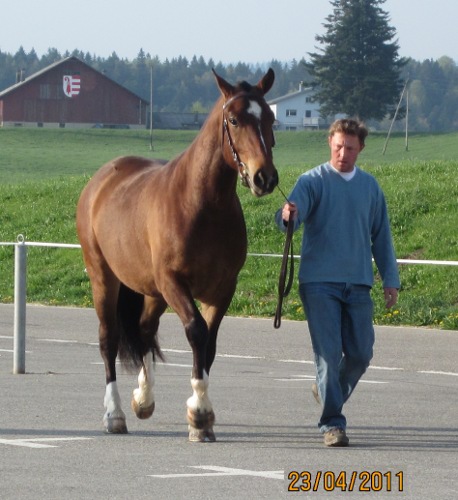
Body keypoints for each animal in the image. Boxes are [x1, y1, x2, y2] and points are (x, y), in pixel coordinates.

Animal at [75, 67, 278, 442]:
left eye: (270, 118)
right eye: (233, 119)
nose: (264, 177)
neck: (201, 205)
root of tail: (101, 179)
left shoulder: (222, 288)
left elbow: (210, 344)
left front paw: (201, 419)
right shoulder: (174, 282)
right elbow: (197, 332)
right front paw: (199, 413)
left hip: (153, 291)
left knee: (143, 328)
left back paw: (143, 399)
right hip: (105, 278)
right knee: (109, 339)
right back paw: (115, 414)